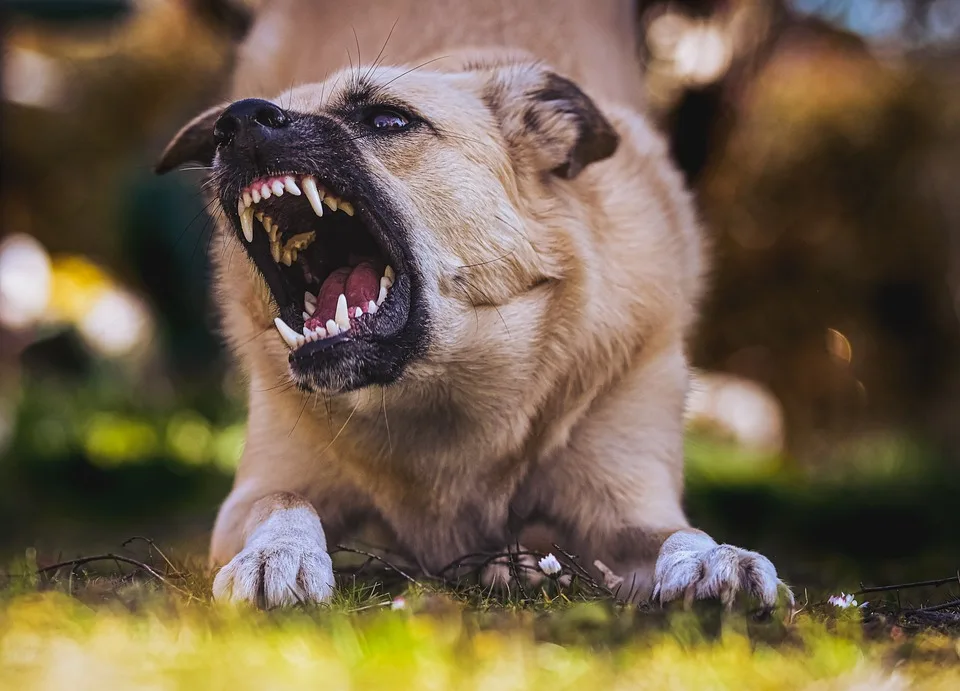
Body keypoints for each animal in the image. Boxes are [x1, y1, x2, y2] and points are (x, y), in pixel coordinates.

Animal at [156, 0, 788, 608]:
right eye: (229, 126)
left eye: (388, 119)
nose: (237, 121)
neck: (439, 391)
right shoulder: (256, 492)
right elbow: (285, 501)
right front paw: (277, 554)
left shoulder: (628, 506)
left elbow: (678, 532)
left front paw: (714, 559)